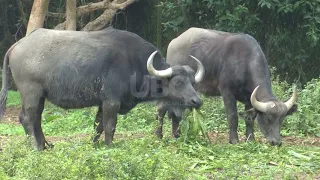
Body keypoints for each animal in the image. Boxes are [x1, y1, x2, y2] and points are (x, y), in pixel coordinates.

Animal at [0, 27, 205, 150]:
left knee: (35, 119)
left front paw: (93, 144)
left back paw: (46, 145)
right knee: (28, 118)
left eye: (193, 82)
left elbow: (97, 126)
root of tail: (17, 45)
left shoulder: (101, 103)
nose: (197, 101)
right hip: (31, 93)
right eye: (178, 82)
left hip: (40, 95)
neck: (134, 63)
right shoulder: (111, 102)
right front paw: (109, 146)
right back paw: (37, 147)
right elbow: (110, 126)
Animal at [155, 27, 298, 146]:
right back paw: (159, 135)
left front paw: (250, 139)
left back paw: (176, 135)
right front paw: (233, 140)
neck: (245, 62)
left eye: (282, 119)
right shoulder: (227, 92)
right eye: (267, 119)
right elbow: (232, 116)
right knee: (162, 109)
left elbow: (249, 119)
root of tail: (173, 43)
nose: (276, 142)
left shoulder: (249, 98)